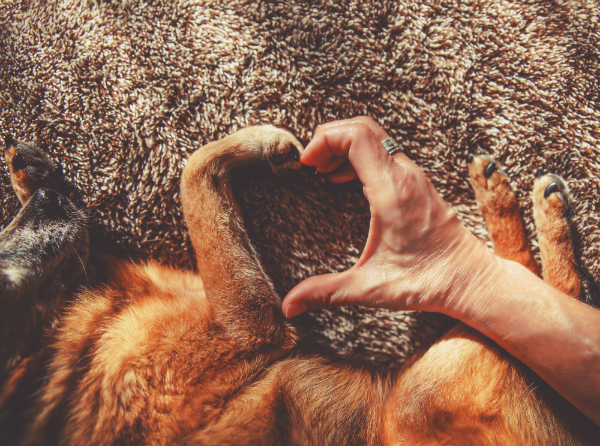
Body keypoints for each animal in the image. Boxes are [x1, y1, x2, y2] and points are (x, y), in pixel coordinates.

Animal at [1, 127, 600, 444]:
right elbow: (194, 174)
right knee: (533, 297)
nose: (49, 200)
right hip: (425, 393)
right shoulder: (249, 326)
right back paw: (527, 205)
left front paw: (29, 172)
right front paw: (259, 143)